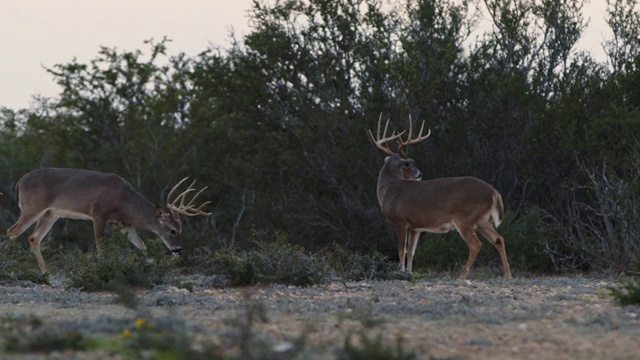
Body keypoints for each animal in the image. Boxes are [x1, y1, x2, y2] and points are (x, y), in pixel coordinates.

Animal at [5, 168, 210, 272]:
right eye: (172, 230)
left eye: (181, 229)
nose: (178, 250)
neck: (123, 201)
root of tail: (19, 181)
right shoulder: (98, 214)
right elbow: (101, 247)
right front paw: (103, 268)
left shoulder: (123, 223)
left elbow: (141, 245)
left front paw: (149, 264)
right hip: (32, 207)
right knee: (11, 231)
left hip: (51, 214)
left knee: (33, 237)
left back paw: (45, 273)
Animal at [370, 117, 510, 278]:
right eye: (409, 165)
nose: (420, 174)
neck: (388, 189)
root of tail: (494, 192)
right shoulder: (415, 227)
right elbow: (411, 252)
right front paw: (409, 273)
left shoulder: (400, 221)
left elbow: (401, 251)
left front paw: (400, 273)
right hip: (482, 220)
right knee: (498, 239)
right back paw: (508, 274)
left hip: (464, 218)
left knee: (476, 244)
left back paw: (462, 275)